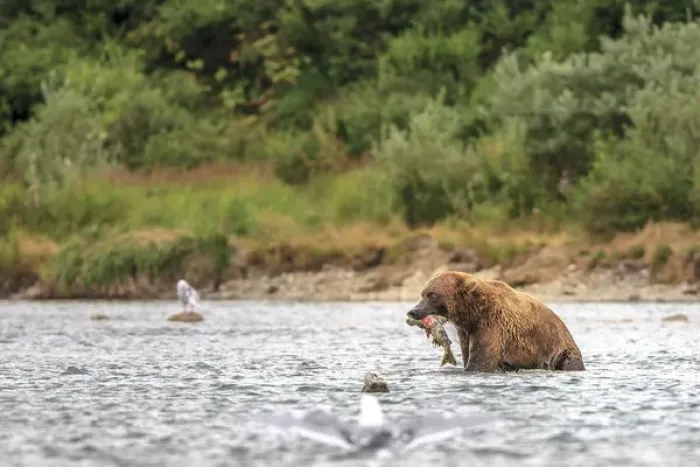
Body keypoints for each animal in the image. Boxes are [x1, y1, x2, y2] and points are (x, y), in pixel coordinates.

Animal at [406, 271, 585, 373]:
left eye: (432, 294)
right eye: (423, 293)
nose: (413, 311)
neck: (472, 312)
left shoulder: (492, 324)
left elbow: (482, 359)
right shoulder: (467, 330)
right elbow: (467, 353)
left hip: (558, 347)